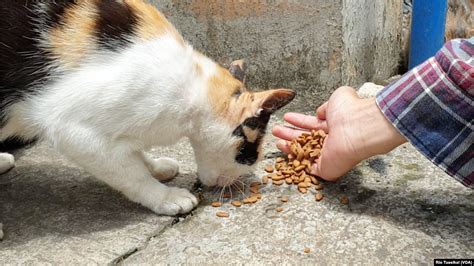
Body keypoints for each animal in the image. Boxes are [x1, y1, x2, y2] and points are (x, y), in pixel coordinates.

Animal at [0, 0, 294, 216]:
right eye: (249, 155)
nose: (238, 180)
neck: (193, 89)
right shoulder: (74, 129)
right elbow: (130, 173)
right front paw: (165, 196)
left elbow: (133, 154)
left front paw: (155, 167)